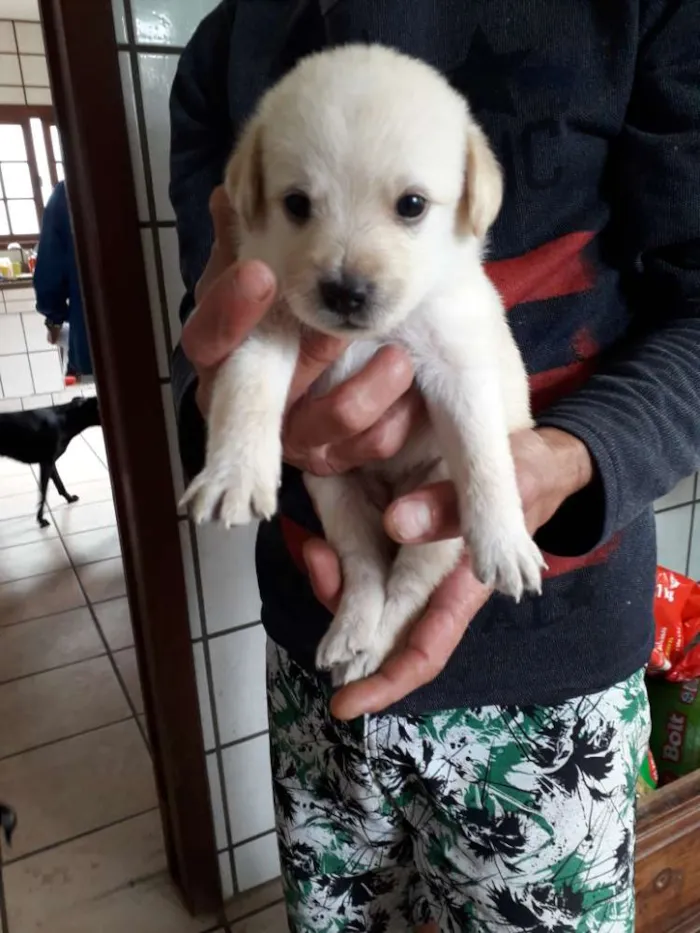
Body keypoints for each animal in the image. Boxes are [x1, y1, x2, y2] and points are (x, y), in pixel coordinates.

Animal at [0, 392, 101, 524]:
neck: (65, 419)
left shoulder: (51, 463)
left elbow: (59, 484)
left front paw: (69, 498)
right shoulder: (46, 463)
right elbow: (43, 493)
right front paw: (40, 518)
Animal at [183, 43, 544, 684]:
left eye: (412, 206)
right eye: (297, 204)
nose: (346, 293)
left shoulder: (458, 364)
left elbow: (483, 455)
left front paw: (506, 539)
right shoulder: (263, 318)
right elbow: (246, 392)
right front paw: (233, 474)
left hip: (436, 515)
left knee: (408, 588)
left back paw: (373, 646)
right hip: (333, 489)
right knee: (364, 567)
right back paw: (350, 635)